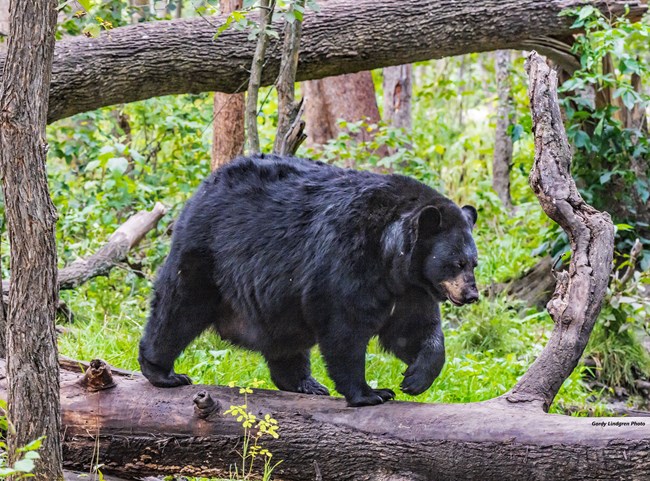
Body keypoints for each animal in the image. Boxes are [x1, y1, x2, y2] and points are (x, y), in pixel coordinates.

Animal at [140, 154, 476, 404]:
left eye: (474, 262)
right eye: (456, 263)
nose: (471, 294)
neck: (391, 255)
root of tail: (207, 184)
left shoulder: (410, 289)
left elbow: (413, 330)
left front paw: (416, 378)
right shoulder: (348, 260)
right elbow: (345, 326)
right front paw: (370, 393)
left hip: (276, 300)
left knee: (283, 337)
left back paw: (304, 382)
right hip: (208, 253)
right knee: (179, 307)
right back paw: (162, 371)